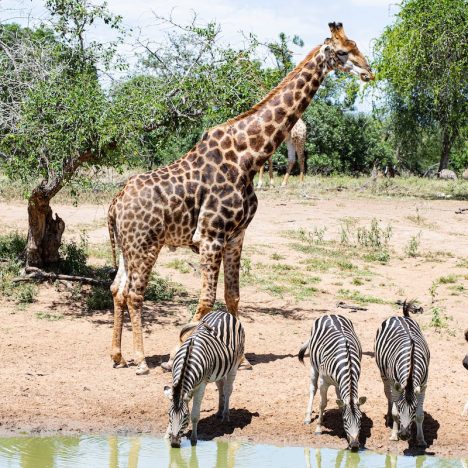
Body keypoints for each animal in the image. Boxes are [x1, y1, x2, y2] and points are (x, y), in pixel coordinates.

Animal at [108, 22, 374, 374]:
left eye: (357, 46)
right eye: (343, 52)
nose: (369, 72)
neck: (249, 156)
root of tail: (115, 202)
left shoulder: (236, 236)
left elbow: (232, 296)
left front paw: (243, 359)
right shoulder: (210, 236)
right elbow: (207, 299)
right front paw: (175, 353)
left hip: (129, 247)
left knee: (118, 289)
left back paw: (118, 355)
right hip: (146, 244)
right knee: (135, 294)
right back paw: (140, 360)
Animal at [164, 308, 245, 448]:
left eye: (185, 416)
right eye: (169, 414)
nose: (174, 443)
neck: (188, 360)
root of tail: (224, 312)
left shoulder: (201, 385)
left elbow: (195, 415)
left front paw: (193, 440)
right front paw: (166, 435)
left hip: (235, 363)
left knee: (228, 389)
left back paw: (225, 416)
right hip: (219, 368)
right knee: (221, 386)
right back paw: (219, 411)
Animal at [298, 314, 368, 450]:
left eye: (360, 419)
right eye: (345, 420)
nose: (355, 445)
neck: (347, 361)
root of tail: (330, 314)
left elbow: (341, 404)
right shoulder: (323, 382)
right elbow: (322, 404)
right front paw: (318, 428)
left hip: (337, 383)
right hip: (313, 366)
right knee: (312, 389)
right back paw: (308, 417)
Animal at [372, 304, 432, 446]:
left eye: (414, 408)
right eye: (400, 407)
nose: (404, 435)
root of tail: (401, 316)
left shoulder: (423, 385)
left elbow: (420, 415)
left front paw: (421, 440)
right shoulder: (395, 385)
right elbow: (395, 413)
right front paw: (394, 435)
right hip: (384, 375)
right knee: (388, 395)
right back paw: (389, 418)